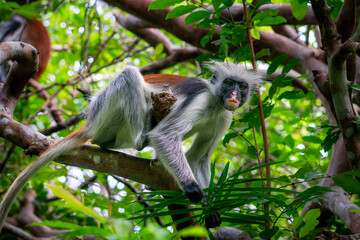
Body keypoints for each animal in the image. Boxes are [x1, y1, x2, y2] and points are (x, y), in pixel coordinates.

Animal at [0, 62, 262, 229]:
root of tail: (89, 121)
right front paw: (191, 188)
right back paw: (140, 138)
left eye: (242, 87)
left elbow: (199, 157)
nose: (234, 95)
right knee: (129, 75)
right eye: (228, 84)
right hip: (106, 109)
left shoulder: (224, 117)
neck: (216, 104)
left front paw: (211, 208)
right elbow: (165, 136)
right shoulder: (202, 98)